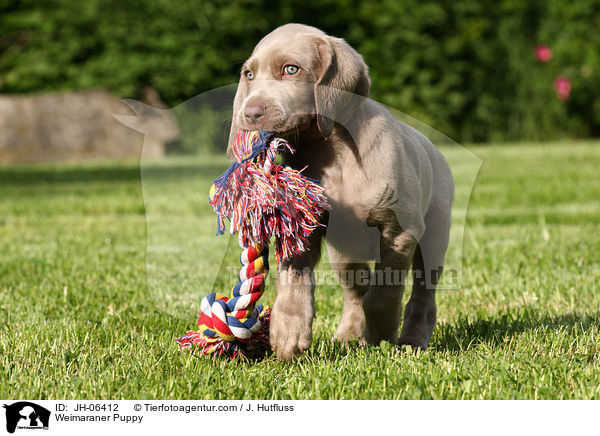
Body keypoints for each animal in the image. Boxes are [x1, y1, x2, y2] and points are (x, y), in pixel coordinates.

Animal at [227, 23, 452, 362]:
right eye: (249, 74)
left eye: (291, 69)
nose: (250, 113)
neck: (331, 153)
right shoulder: (302, 225)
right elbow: (294, 277)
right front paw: (288, 331)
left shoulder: (399, 231)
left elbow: (385, 292)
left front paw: (382, 332)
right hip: (344, 254)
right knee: (356, 290)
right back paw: (348, 335)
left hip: (434, 238)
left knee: (422, 295)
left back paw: (412, 340)